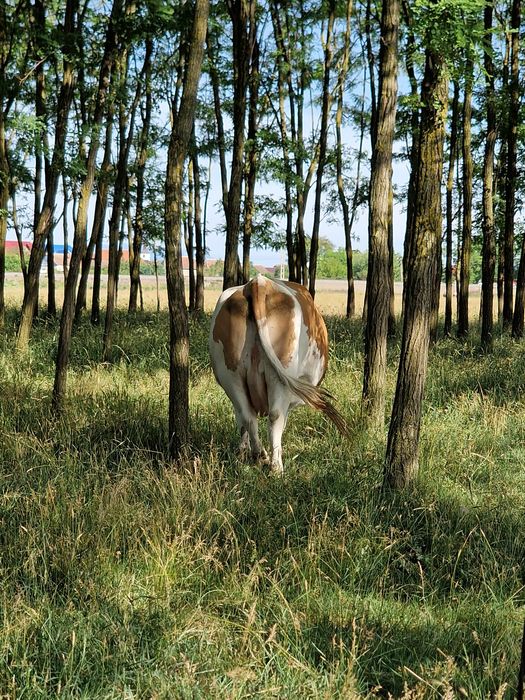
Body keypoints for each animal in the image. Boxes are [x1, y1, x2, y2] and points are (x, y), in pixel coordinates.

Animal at [209, 274, 348, 474]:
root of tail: (258, 283)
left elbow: (240, 421)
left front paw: (241, 452)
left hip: (230, 374)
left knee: (248, 416)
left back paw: (259, 455)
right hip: (281, 374)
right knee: (275, 415)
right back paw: (276, 466)